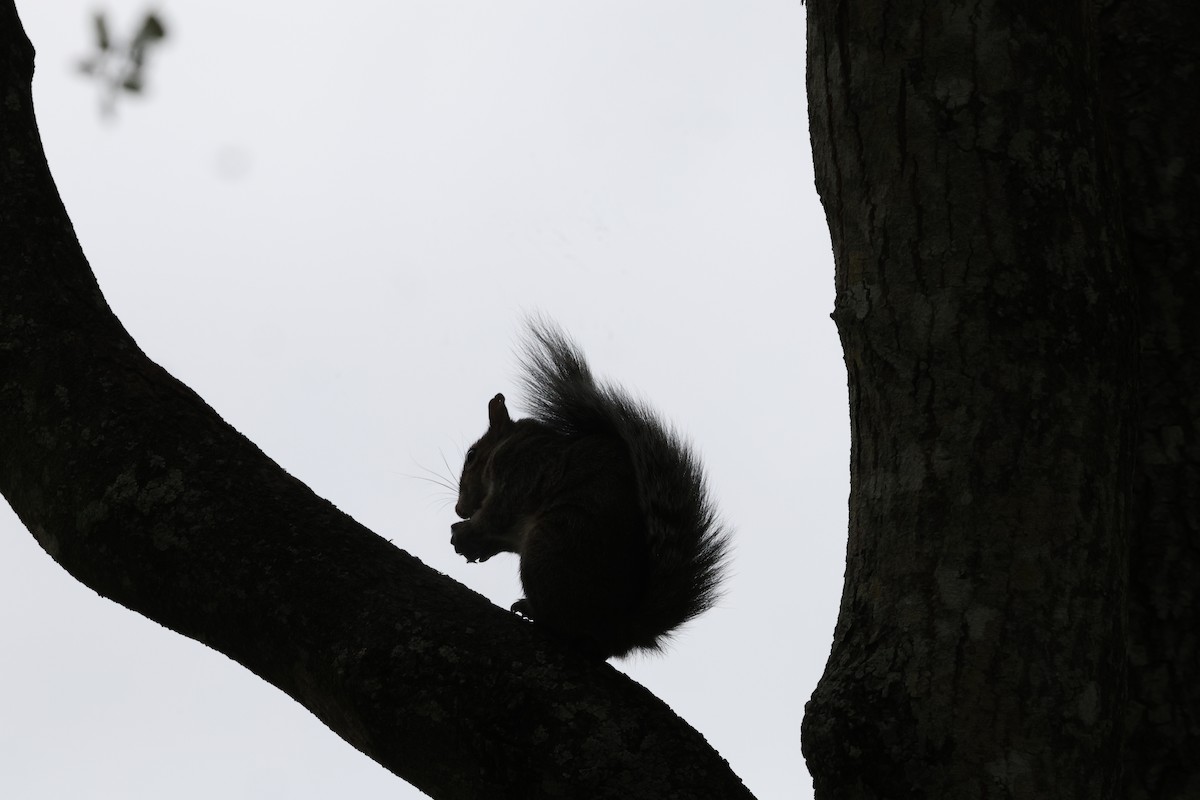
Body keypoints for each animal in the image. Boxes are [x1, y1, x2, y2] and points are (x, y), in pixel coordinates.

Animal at [450, 319, 730, 659]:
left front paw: (466, 530)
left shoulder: (521, 473)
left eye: (471, 455)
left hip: (553, 543)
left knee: (564, 623)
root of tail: (618, 630)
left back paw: (533, 610)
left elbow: (497, 514)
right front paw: (476, 547)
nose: (460, 509)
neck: (511, 443)